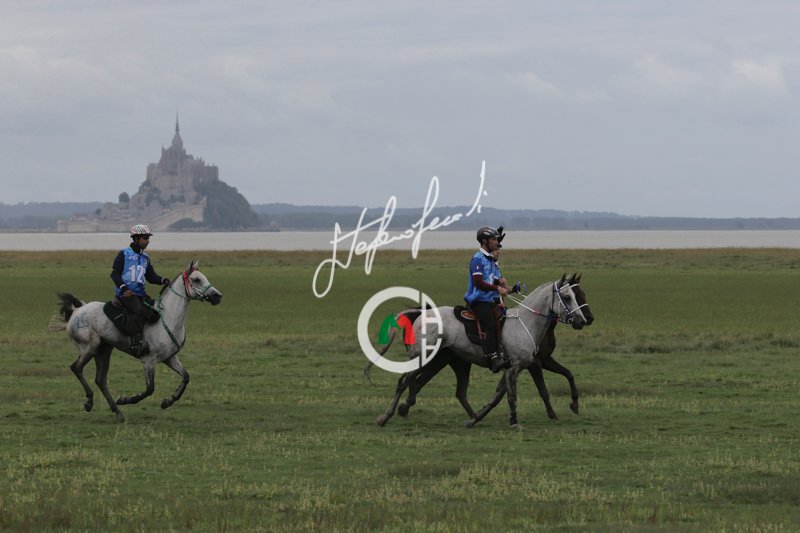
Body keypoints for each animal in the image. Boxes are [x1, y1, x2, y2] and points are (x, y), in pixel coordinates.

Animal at [50, 261, 223, 422]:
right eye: (197, 279)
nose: (217, 296)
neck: (168, 319)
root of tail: (77, 311)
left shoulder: (170, 358)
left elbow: (186, 377)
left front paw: (167, 401)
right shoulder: (149, 361)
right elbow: (149, 389)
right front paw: (125, 399)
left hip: (104, 350)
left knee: (100, 379)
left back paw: (118, 412)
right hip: (90, 347)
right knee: (76, 368)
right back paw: (89, 402)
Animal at [372, 274, 593, 428]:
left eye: (578, 295)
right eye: (568, 296)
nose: (583, 320)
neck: (526, 323)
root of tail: (420, 315)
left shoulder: (517, 367)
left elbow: (497, 397)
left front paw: (475, 420)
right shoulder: (519, 367)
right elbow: (514, 395)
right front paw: (514, 421)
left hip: (449, 361)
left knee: (445, 388)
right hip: (422, 357)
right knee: (404, 382)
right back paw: (385, 416)